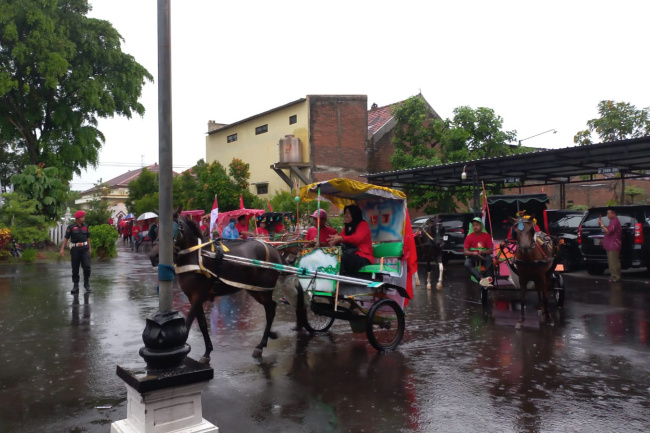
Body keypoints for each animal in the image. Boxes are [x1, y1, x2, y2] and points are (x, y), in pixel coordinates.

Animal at [149, 212, 306, 362]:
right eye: (156, 230)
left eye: (173, 229)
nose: (154, 256)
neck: (197, 256)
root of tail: (272, 249)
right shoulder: (192, 297)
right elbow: (202, 324)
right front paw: (207, 352)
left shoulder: (198, 296)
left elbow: (188, 323)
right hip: (254, 289)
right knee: (271, 308)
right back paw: (270, 336)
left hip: (263, 290)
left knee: (271, 311)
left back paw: (260, 345)